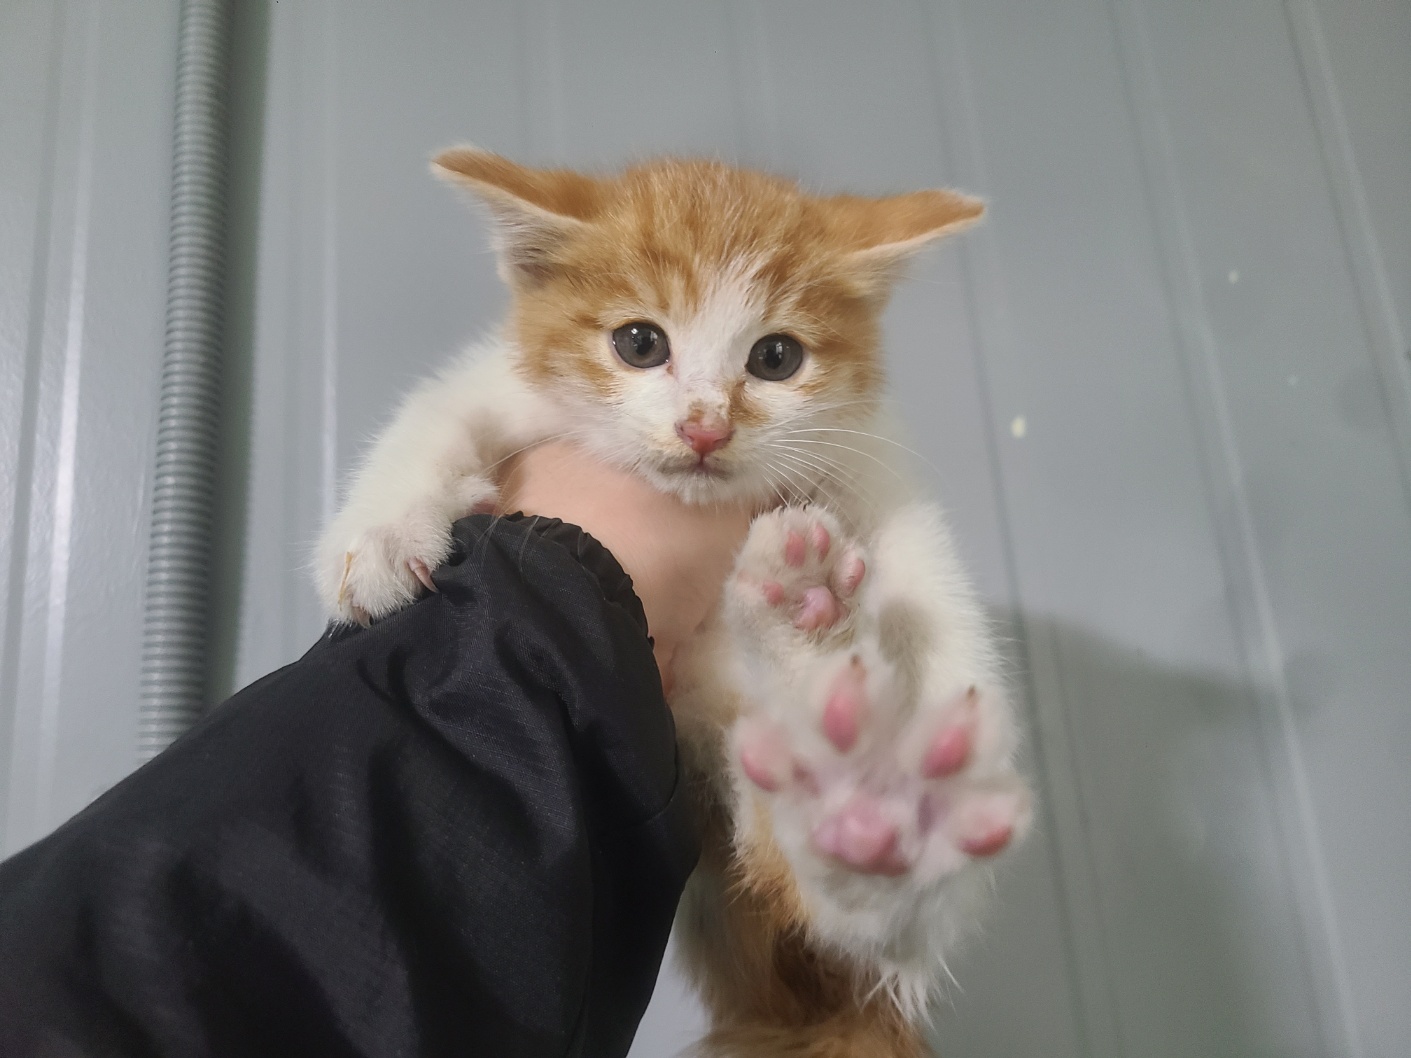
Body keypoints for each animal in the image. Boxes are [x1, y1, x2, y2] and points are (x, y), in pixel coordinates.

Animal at [314, 150, 1032, 1058]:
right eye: (639, 343)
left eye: (776, 357)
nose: (705, 428)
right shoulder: (503, 381)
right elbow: (433, 412)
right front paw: (375, 535)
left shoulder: (869, 462)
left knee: (878, 932)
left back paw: (859, 783)